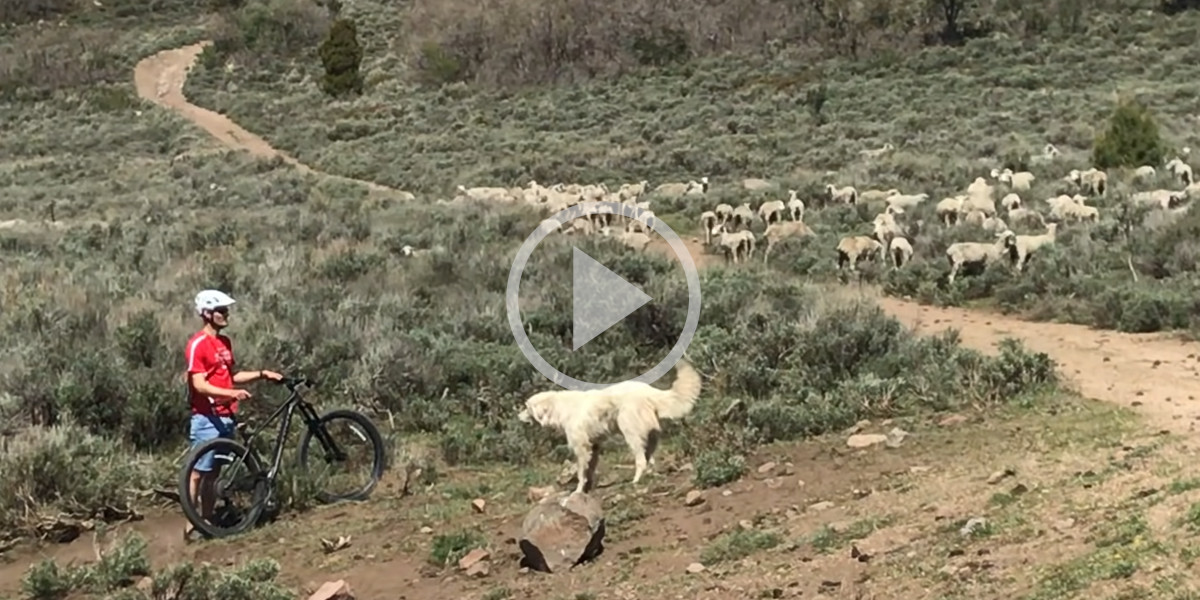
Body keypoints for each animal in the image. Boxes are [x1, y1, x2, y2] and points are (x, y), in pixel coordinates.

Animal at [518, 360, 700, 492]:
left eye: (526, 407)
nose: (518, 416)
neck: (559, 408)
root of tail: (648, 390)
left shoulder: (581, 447)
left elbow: (581, 472)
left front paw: (578, 491)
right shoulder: (594, 446)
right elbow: (590, 470)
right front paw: (588, 488)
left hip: (630, 432)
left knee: (641, 460)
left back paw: (635, 480)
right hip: (650, 434)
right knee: (650, 457)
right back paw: (651, 474)